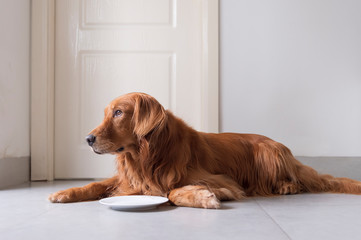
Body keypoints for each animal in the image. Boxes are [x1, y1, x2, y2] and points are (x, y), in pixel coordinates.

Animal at [49, 92, 360, 208]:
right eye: (106, 113)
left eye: (118, 112)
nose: (88, 139)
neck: (149, 155)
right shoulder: (129, 180)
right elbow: (96, 185)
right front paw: (65, 192)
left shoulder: (220, 178)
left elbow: (173, 191)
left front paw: (204, 196)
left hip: (267, 153)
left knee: (294, 179)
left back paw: (287, 187)